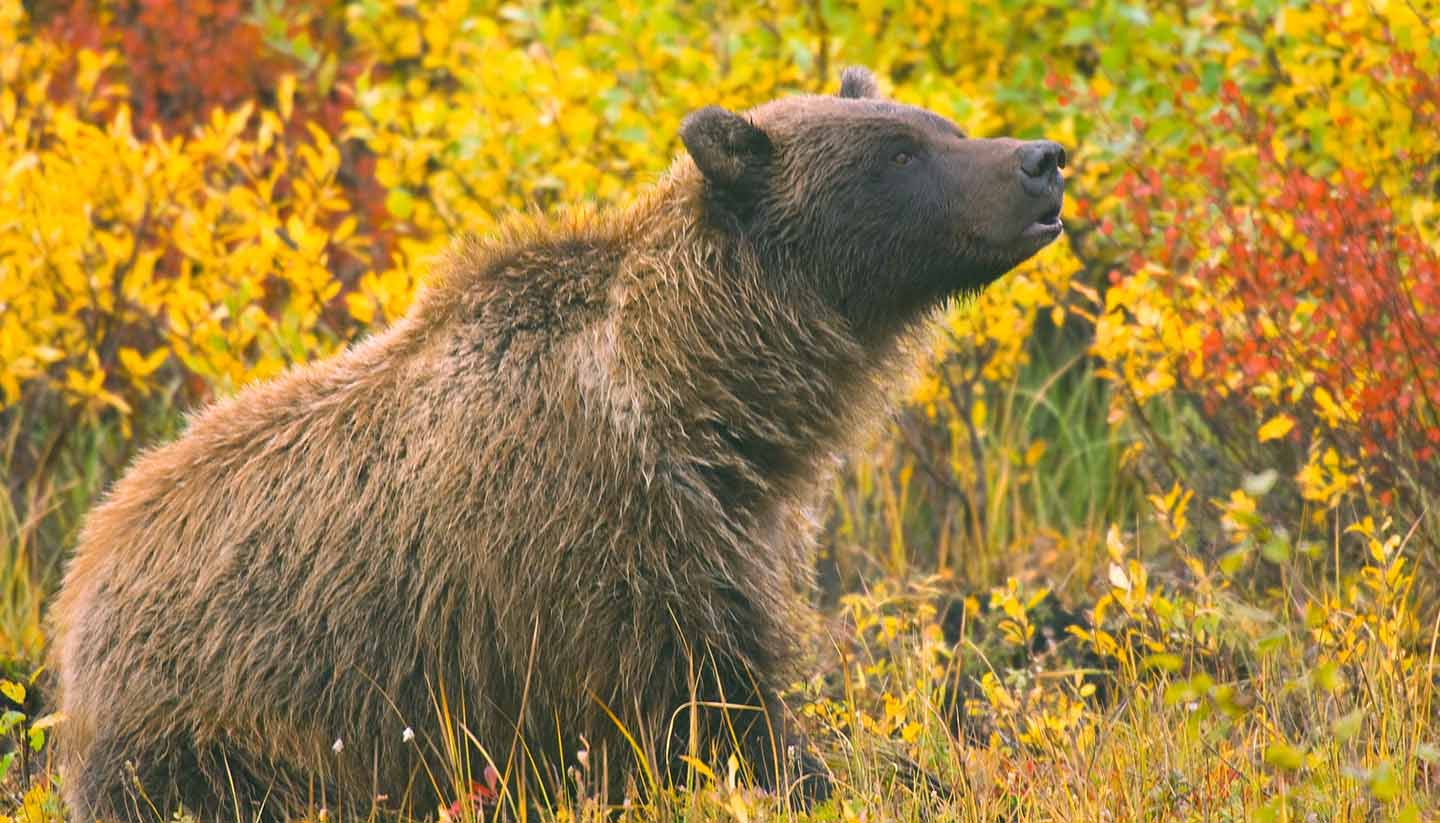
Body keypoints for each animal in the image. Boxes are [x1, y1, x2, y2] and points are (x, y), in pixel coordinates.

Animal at [50, 67, 1065, 817]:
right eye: (899, 152)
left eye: (936, 121)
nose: (1042, 159)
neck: (710, 402)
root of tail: (90, 557)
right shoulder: (599, 548)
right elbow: (707, 715)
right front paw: (841, 776)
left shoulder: (741, 527)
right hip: (222, 713)